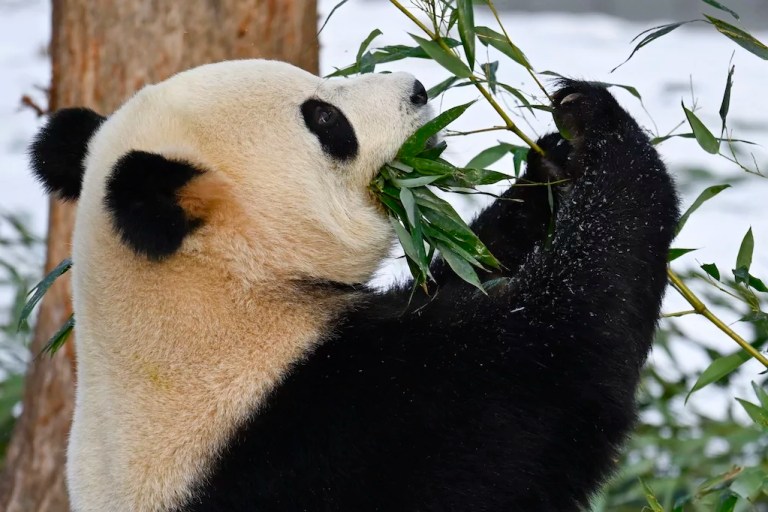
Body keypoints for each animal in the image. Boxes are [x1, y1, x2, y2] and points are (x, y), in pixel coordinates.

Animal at [30, 59, 679, 512]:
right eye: (324, 119)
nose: (418, 88)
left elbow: (466, 266)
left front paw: (553, 159)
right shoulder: (335, 424)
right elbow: (564, 353)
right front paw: (596, 124)